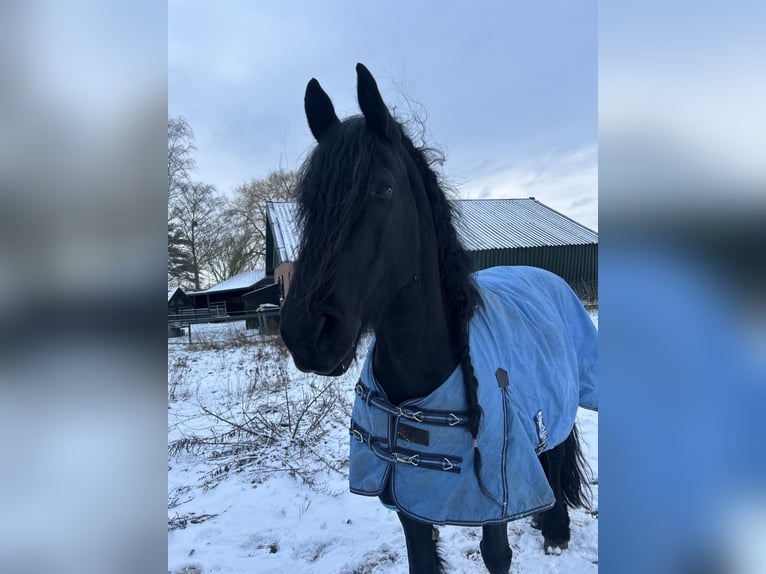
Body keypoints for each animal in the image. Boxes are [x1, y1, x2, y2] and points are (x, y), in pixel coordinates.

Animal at [279, 63, 598, 574]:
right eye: (308, 198)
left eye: (383, 188)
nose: (306, 333)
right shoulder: (408, 497)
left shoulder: (492, 504)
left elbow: (497, 554)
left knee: (557, 452)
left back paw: (555, 529)